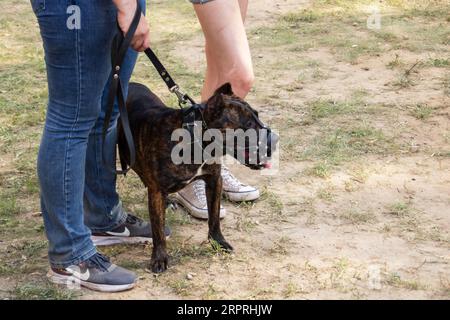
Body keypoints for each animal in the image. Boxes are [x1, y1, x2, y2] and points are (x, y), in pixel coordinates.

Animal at [118, 82, 276, 272]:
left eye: (257, 116)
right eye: (248, 124)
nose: (275, 139)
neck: (196, 140)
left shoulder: (214, 181)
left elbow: (214, 217)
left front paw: (218, 242)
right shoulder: (156, 191)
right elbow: (158, 229)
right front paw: (159, 258)